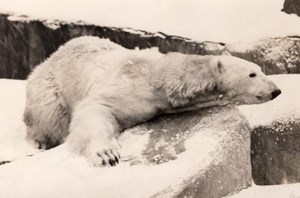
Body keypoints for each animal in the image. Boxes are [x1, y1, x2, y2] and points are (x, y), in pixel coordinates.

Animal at [23, 36, 282, 167]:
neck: (157, 77)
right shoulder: (125, 89)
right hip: (49, 90)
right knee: (49, 118)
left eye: (261, 70)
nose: (276, 91)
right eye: (252, 74)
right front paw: (107, 153)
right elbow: (94, 110)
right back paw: (40, 141)